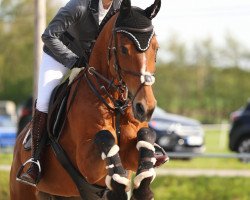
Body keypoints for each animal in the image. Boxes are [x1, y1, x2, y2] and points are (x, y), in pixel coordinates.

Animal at [9, 0, 163, 199]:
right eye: (123, 49)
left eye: (156, 48)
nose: (145, 108)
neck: (115, 104)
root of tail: (19, 140)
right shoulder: (86, 163)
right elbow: (105, 138)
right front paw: (118, 188)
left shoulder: (130, 150)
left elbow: (146, 135)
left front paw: (143, 189)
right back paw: (31, 172)